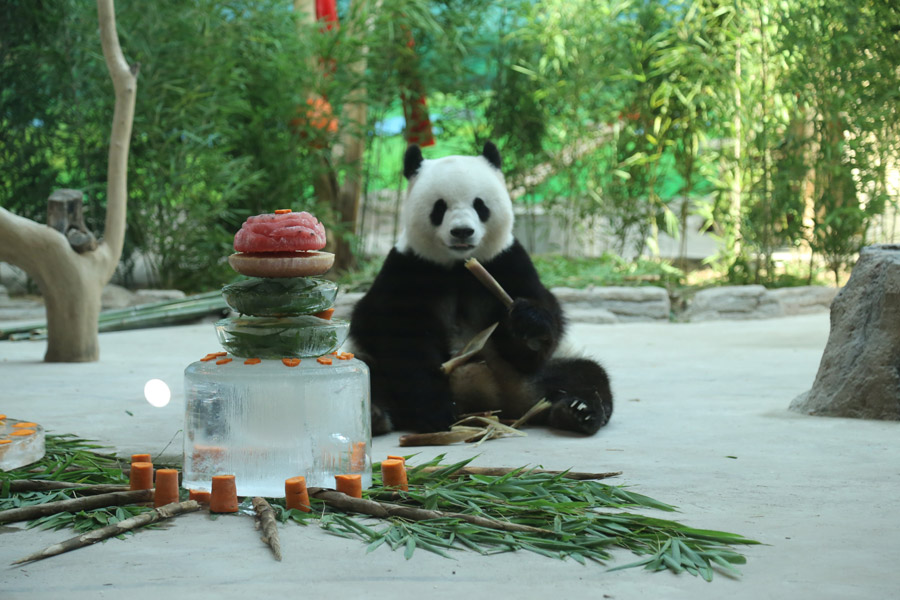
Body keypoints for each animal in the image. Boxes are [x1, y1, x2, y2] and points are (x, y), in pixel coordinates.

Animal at [348, 144, 616, 436]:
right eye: (440, 207)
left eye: (480, 205)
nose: (462, 232)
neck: (459, 266)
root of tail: (494, 405)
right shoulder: (408, 268)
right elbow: (399, 335)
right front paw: (434, 411)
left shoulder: (507, 261)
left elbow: (537, 331)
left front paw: (529, 325)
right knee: (368, 370)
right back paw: (376, 415)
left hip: (533, 376)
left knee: (585, 374)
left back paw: (577, 411)